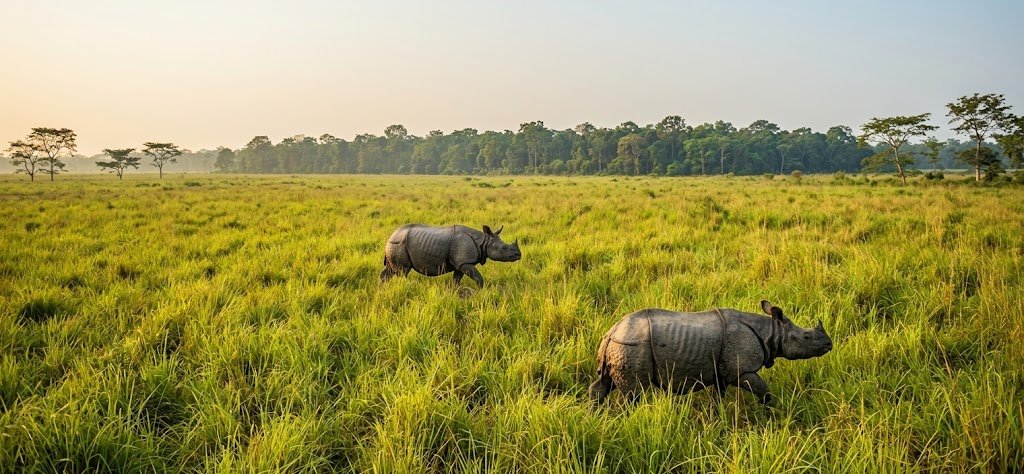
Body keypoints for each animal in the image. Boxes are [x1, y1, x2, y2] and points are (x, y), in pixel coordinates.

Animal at [379, 224, 521, 287]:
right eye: (504, 248)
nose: (518, 255)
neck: (483, 242)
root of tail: (391, 236)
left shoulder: (460, 263)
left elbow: (456, 279)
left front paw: (454, 291)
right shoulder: (465, 262)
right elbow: (478, 278)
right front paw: (482, 290)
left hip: (395, 245)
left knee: (390, 270)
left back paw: (382, 287)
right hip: (399, 244)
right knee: (403, 271)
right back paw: (406, 286)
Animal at [588, 300, 832, 405]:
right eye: (806, 337)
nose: (829, 344)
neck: (771, 331)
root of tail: (611, 331)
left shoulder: (722, 371)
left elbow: (718, 396)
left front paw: (717, 416)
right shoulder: (741, 370)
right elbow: (763, 389)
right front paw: (768, 410)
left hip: (617, 346)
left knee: (604, 384)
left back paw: (594, 413)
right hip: (632, 345)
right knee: (634, 392)